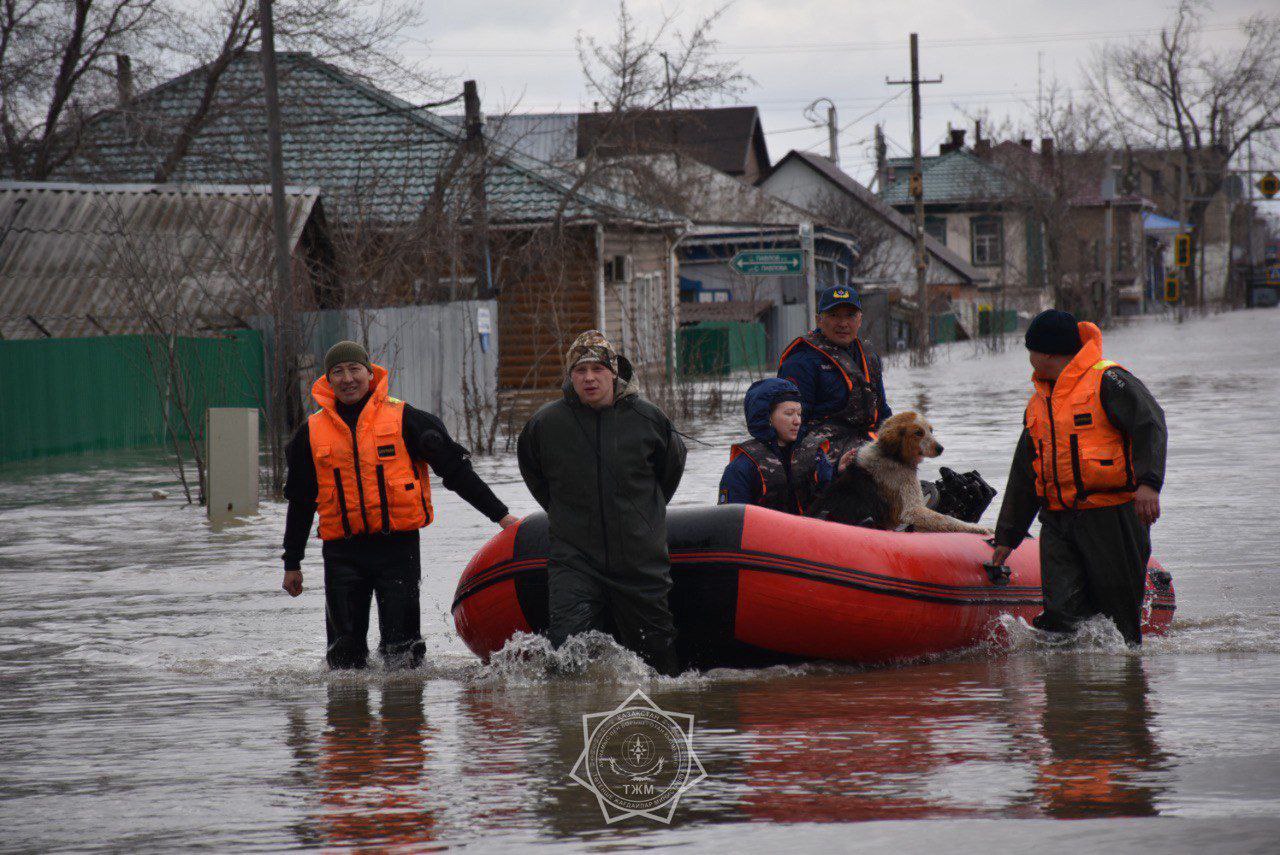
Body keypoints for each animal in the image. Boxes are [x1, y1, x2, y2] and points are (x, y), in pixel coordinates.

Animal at [824, 409, 993, 535]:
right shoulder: (911, 510)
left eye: (930, 430)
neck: (891, 456)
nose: (941, 448)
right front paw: (979, 528)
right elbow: (948, 520)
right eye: (918, 433)